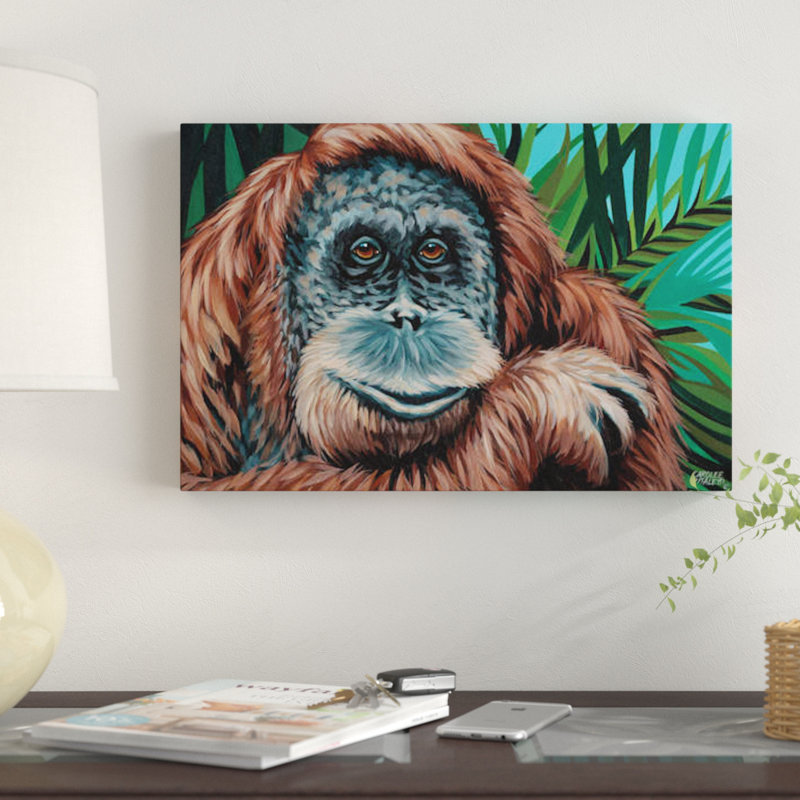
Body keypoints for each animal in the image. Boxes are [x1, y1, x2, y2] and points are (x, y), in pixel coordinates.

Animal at [180, 124, 685, 490]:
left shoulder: (604, 319)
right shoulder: (198, 323)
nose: (407, 318)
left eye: (432, 252)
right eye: (365, 251)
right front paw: (539, 397)